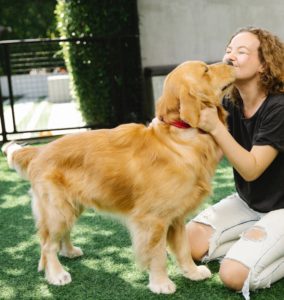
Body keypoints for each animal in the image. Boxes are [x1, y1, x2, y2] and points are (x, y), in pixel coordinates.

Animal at [2, 60, 235, 292]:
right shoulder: (153, 219)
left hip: (71, 205)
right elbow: (157, 254)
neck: (178, 138)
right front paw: (161, 283)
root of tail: (40, 151)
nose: (230, 61)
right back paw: (57, 274)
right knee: (47, 244)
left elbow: (184, 248)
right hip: (57, 210)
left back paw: (69, 251)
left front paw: (193, 273)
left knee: (61, 235)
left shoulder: (176, 217)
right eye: (205, 70)